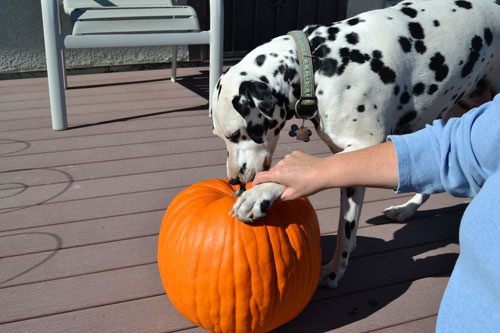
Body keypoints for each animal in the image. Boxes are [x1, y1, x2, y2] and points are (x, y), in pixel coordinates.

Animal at [209, 0, 498, 286]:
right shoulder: (349, 169)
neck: (321, 64)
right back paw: (406, 210)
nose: (233, 180)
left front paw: (261, 192)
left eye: (236, 135)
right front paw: (336, 269)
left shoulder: (367, 146)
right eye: (221, 136)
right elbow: (345, 229)